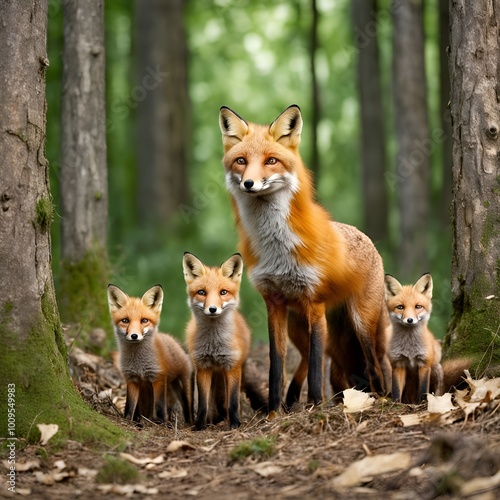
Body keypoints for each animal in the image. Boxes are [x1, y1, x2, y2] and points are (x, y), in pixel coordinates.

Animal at [107, 286, 193, 422]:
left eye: (144, 320)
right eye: (125, 320)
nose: (134, 336)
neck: (139, 363)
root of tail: (172, 340)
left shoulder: (158, 377)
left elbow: (159, 405)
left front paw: (160, 422)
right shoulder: (132, 379)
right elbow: (130, 405)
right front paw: (128, 419)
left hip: (184, 382)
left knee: (186, 405)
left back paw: (189, 422)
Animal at [184, 254, 268, 430]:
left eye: (223, 292)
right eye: (201, 292)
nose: (212, 309)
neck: (214, 344)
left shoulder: (232, 366)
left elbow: (233, 401)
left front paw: (235, 424)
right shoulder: (202, 367)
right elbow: (203, 403)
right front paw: (200, 426)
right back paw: (214, 419)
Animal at [219, 103, 390, 412]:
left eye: (271, 161)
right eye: (240, 161)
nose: (249, 183)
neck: (277, 249)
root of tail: (368, 239)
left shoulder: (315, 304)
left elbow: (316, 367)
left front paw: (316, 406)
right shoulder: (273, 303)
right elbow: (277, 364)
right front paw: (274, 411)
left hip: (361, 323)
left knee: (373, 362)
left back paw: (381, 396)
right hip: (299, 327)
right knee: (304, 360)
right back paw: (291, 399)